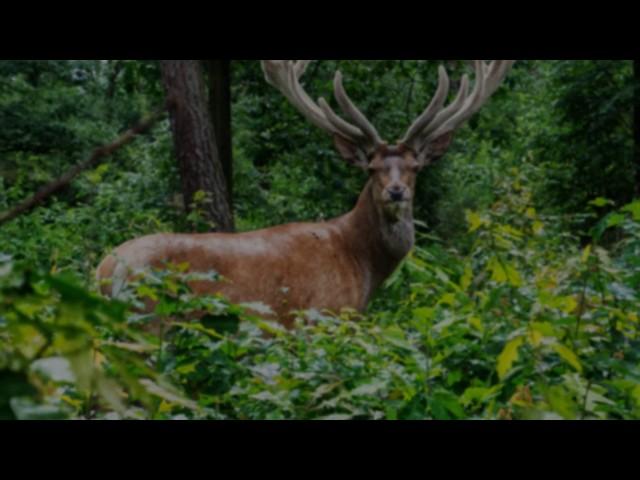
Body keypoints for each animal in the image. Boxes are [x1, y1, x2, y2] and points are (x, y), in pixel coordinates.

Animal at [96, 60, 516, 328]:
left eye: (415, 167)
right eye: (371, 168)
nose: (396, 192)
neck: (361, 263)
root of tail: (104, 272)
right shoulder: (323, 316)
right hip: (148, 323)